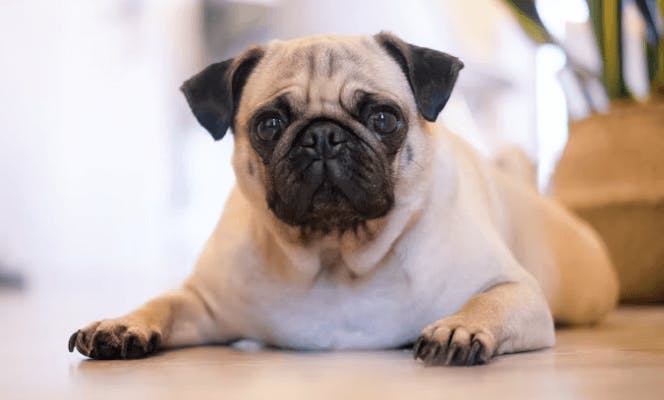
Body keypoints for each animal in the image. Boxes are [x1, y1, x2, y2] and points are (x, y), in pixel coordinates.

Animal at [66, 33, 616, 366]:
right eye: (269, 125)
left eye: (383, 118)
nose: (323, 136)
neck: (336, 256)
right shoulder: (204, 303)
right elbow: (162, 302)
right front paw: (122, 325)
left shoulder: (516, 291)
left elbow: (488, 301)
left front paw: (459, 328)